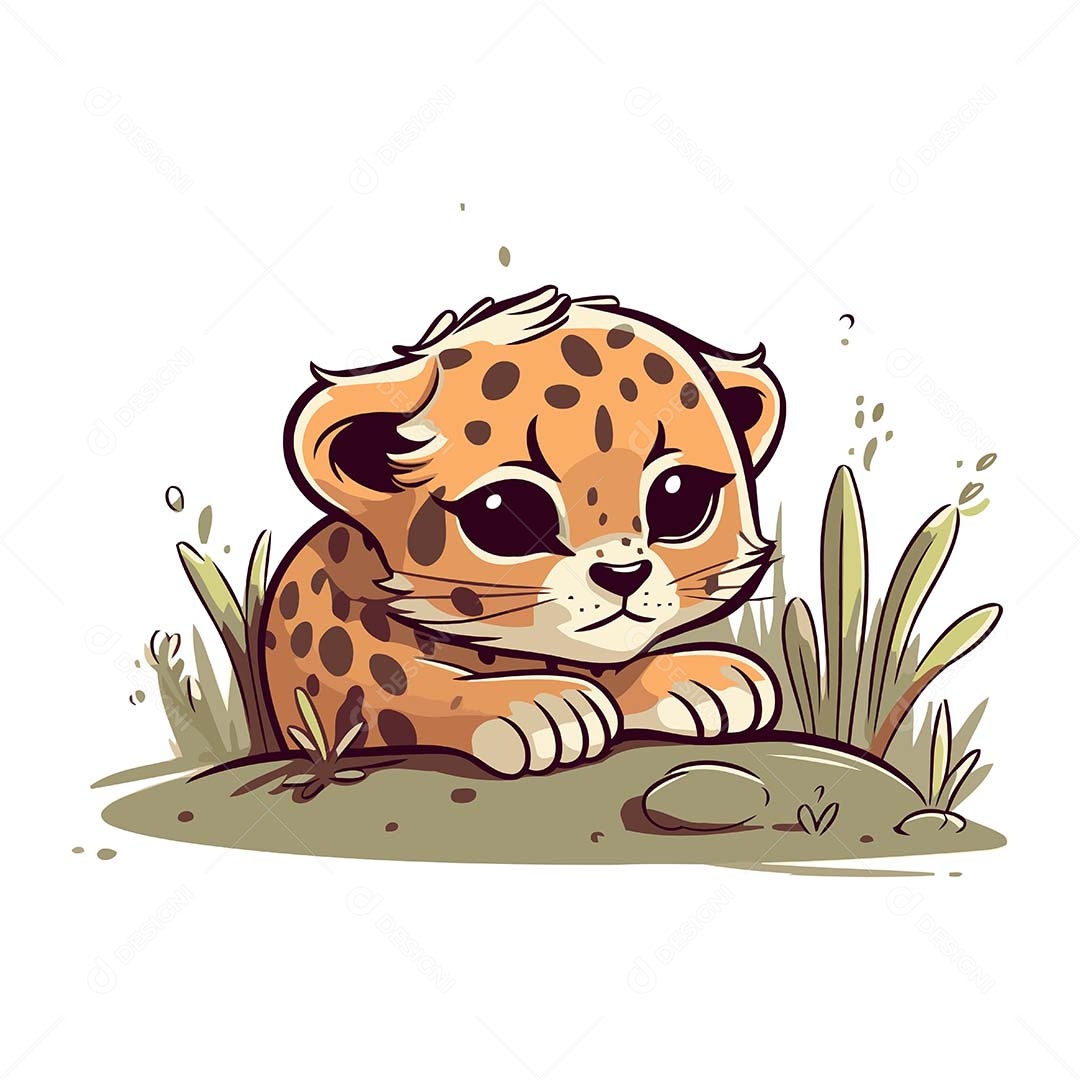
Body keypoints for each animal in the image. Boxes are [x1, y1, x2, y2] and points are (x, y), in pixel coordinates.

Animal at [260, 285, 784, 777]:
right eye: (505, 510)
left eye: (678, 494)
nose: (624, 576)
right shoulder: (337, 686)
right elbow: (404, 683)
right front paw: (538, 706)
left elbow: (605, 667)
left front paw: (697, 678)